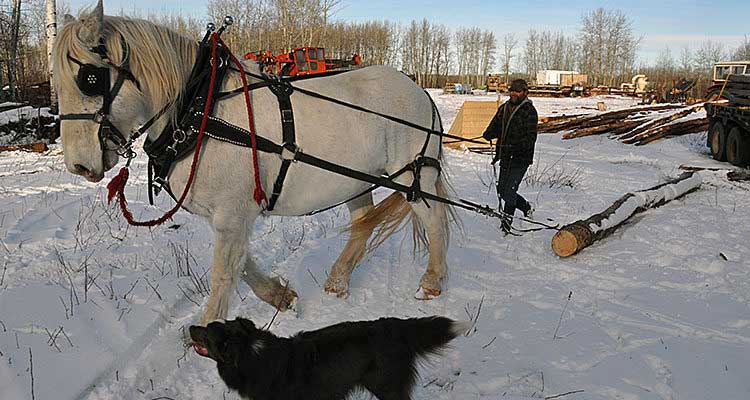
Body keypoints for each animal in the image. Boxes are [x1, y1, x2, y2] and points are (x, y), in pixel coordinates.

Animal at [54, 0, 452, 324]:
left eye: (90, 79)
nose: (78, 165)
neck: (201, 108)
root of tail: (419, 90)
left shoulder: (233, 213)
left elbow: (224, 273)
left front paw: (207, 334)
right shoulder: (231, 216)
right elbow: (241, 264)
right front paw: (280, 297)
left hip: (412, 176)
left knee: (433, 218)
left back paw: (431, 281)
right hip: (355, 180)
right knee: (363, 223)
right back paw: (338, 280)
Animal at [191, 316, 468, 400]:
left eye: (206, 334)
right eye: (207, 326)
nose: (190, 327)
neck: (249, 352)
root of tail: (394, 326)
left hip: (386, 386)